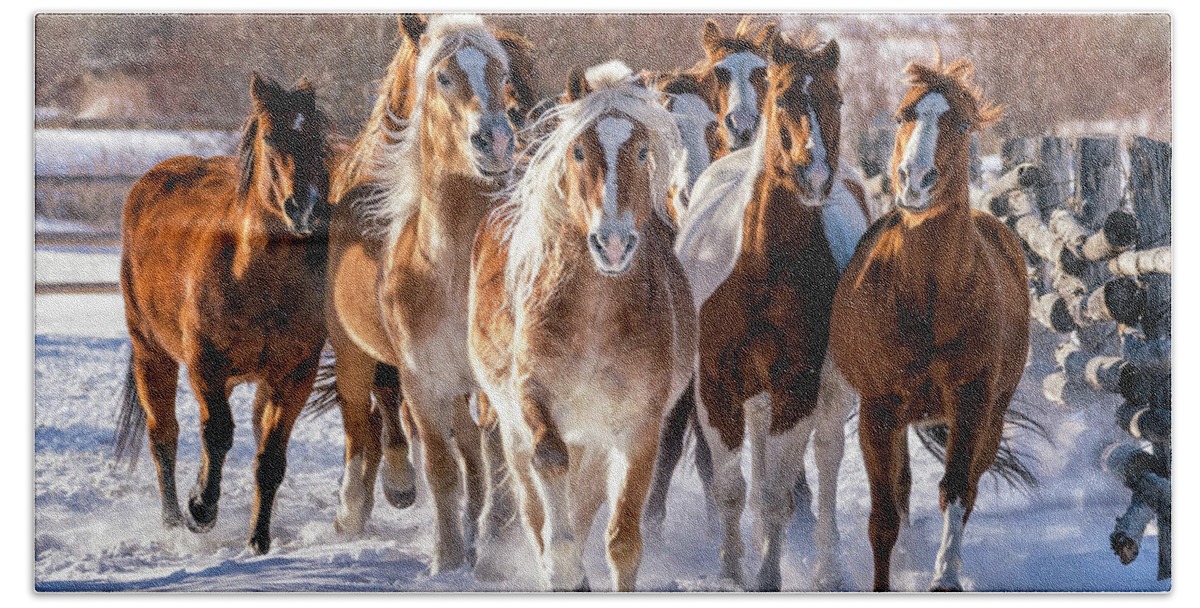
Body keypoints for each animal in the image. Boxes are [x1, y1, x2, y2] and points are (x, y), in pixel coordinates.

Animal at [115, 73, 333, 554]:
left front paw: (259, 541)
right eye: (270, 136)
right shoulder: (205, 365)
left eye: (319, 138)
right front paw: (201, 508)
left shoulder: (293, 376)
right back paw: (174, 520)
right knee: (164, 437)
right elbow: (216, 434)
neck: (256, 278)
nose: (307, 207)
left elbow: (269, 459)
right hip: (151, 353)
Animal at [468, 61, 696, 590]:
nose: (612, 243)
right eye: (577, 150)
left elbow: (622, 541)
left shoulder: (640, 427)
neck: (597, 314)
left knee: (586, 501)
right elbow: (549, 471)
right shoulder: (534, 396)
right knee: (533, 504)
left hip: (593, 439)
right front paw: (564, 566)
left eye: (642, 150)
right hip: (517, 428)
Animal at [672, 33, 868, 590]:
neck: (761, 262)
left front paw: (765, 576)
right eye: (782, 99)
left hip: (829, 387)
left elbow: (781, 492)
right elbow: (731, 488)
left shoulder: (796, 385)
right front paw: (730, 571)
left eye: (836, 99)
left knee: (826, 457)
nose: (815, 175)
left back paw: (828, 566)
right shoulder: (715, 383)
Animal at [830, 56, 1027, 590]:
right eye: (903, 115)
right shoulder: (878, 409)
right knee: (900, 489)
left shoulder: (972, 401)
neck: (928, 299)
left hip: (991, 416)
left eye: (959, 123)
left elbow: (955, 491)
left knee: (968, 487)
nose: (914, 180)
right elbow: (882, 517)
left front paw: (945, 577)